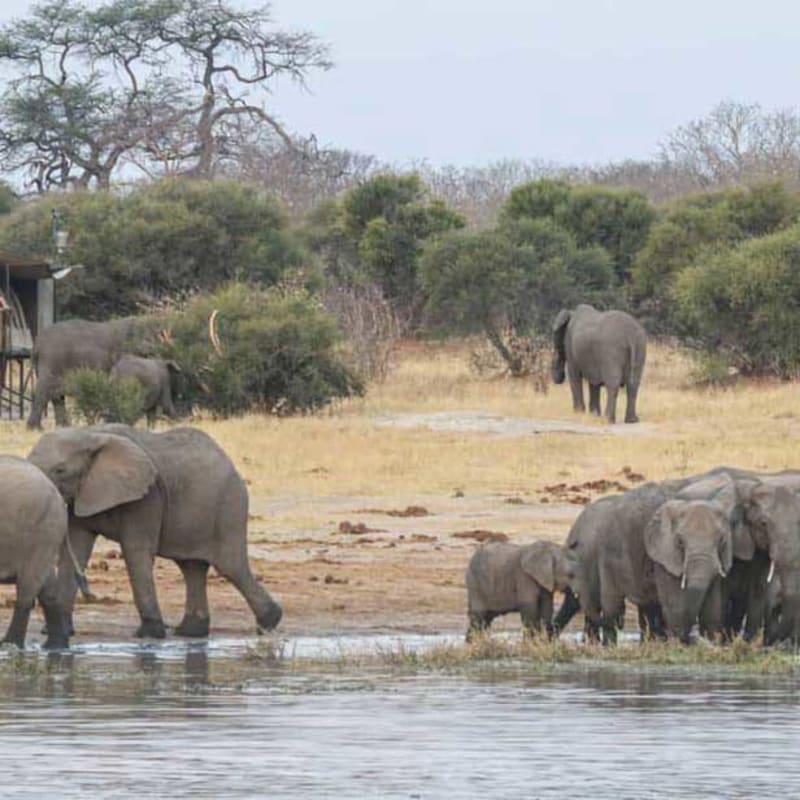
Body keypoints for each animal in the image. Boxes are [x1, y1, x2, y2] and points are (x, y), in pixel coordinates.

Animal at [28, 424, 283, 639]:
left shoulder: (147, 497)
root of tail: (230, 463)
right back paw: (191, 632)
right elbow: (77, 550)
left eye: (60, 470)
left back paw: (269, 623)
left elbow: (136, 552)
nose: (89, 595)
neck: (89, 434)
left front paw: (149, 634)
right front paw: (59, 631)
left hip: (228, 506)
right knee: (192, 567)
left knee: (230, 566)